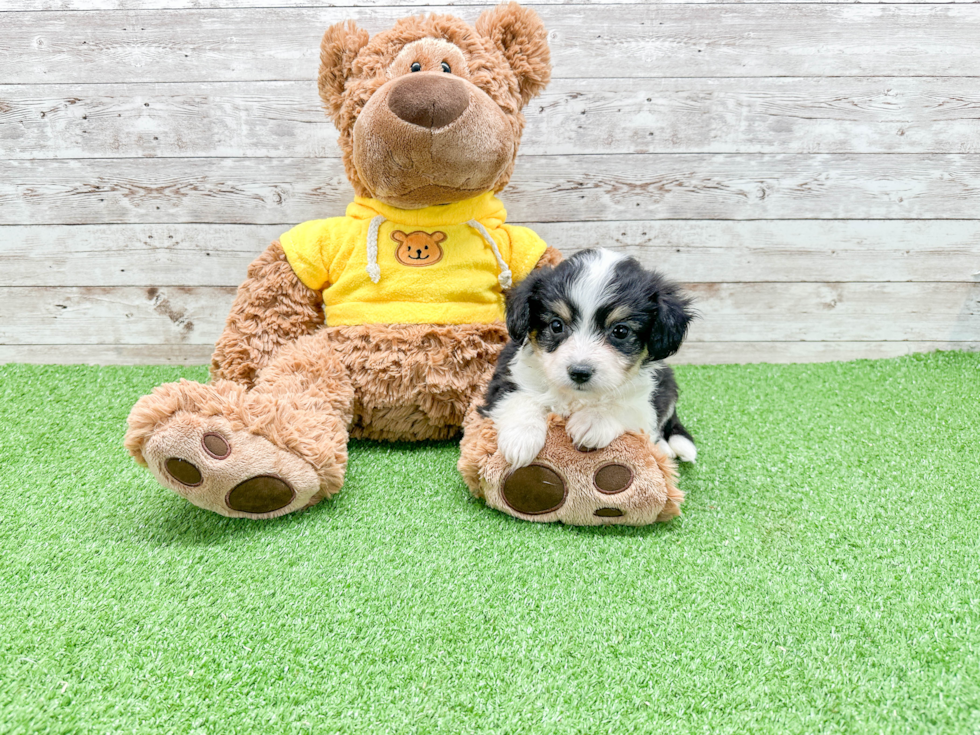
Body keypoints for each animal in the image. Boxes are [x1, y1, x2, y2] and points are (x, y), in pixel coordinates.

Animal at [480, 247, 696, 466]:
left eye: (621, 331)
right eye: (556, 325)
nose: (579, 372)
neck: (576, 397)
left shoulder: (646, 401)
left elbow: (626, 407)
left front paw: (593, 420)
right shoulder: (507, 375)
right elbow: (518, 398)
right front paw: (521, 436)